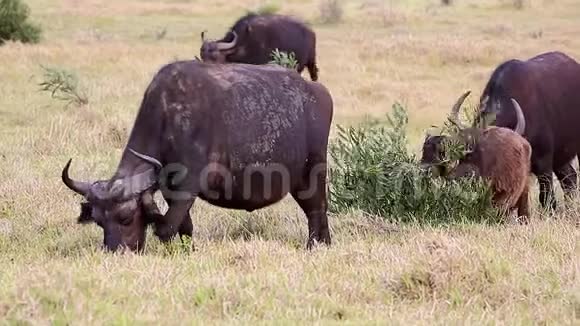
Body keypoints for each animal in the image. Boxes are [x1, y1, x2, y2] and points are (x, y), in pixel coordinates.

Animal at [61, 60, 334, 252]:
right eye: (99, 221)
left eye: (126, 217)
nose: (115, 250)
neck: (168, 117)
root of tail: (317, 91)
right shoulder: (171, 190)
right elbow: (184, 226)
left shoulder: (188, 186)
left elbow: (165, 228)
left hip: (313, 171)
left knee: (317, 208)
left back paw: (315, 246)